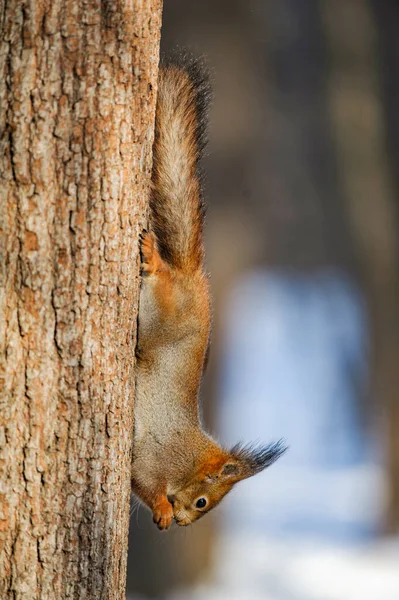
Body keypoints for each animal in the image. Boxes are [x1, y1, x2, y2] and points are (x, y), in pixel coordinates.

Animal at [132, 51, 288, 528]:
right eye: (203, 502)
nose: (186, 522)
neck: (188, 458)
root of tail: (194, 277)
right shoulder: (152, 458)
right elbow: (147, 483)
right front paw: (164, 510)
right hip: (162, 313)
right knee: (161, 281)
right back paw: (153, 260)